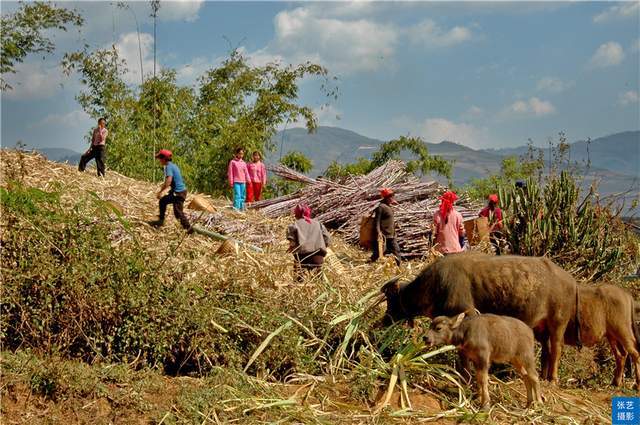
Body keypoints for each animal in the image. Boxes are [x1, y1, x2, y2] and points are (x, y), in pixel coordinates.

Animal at [380, 252, 580, 384]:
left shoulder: (466, 315)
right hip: (540, 327)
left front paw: (466, 376)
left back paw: (552, 379)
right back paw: (544, 375)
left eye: (391, 299)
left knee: (556, 348)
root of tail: (571, 281)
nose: (383, 321)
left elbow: (462, 351)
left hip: (558, 322)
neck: (436, 284)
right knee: (546, 349)